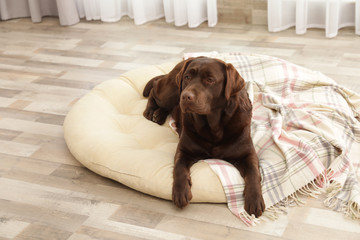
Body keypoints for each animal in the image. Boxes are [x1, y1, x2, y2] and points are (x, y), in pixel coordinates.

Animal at [143, 56, 264, 218]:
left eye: (210, 80)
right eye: (187, 77)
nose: (185, 96)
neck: (213, 127)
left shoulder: (248, 154)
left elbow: (253, 173)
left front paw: (255, 199)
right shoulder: (184, 150)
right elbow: (179, 168)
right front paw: (180, 192)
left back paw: (159, 114)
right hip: (169, 93)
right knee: (155, 88)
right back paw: (151, 111)